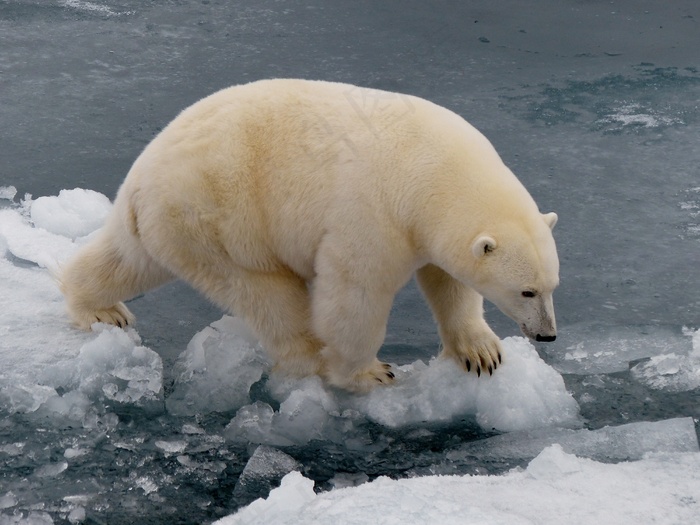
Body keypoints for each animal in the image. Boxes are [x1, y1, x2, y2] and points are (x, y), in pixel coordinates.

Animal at [63, 79, 560, 392]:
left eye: (552, 286)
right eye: (527, 290)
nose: (548, 335)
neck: (435, 171)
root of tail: (142, 176)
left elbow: (448, 280)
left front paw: (482, 353)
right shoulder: (372, 213)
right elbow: (354, 294)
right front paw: (366, 373)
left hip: (167, 223)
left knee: (130, 259)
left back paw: (101, 308)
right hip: (218, 220)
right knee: (266, 293)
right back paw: (310, 359)